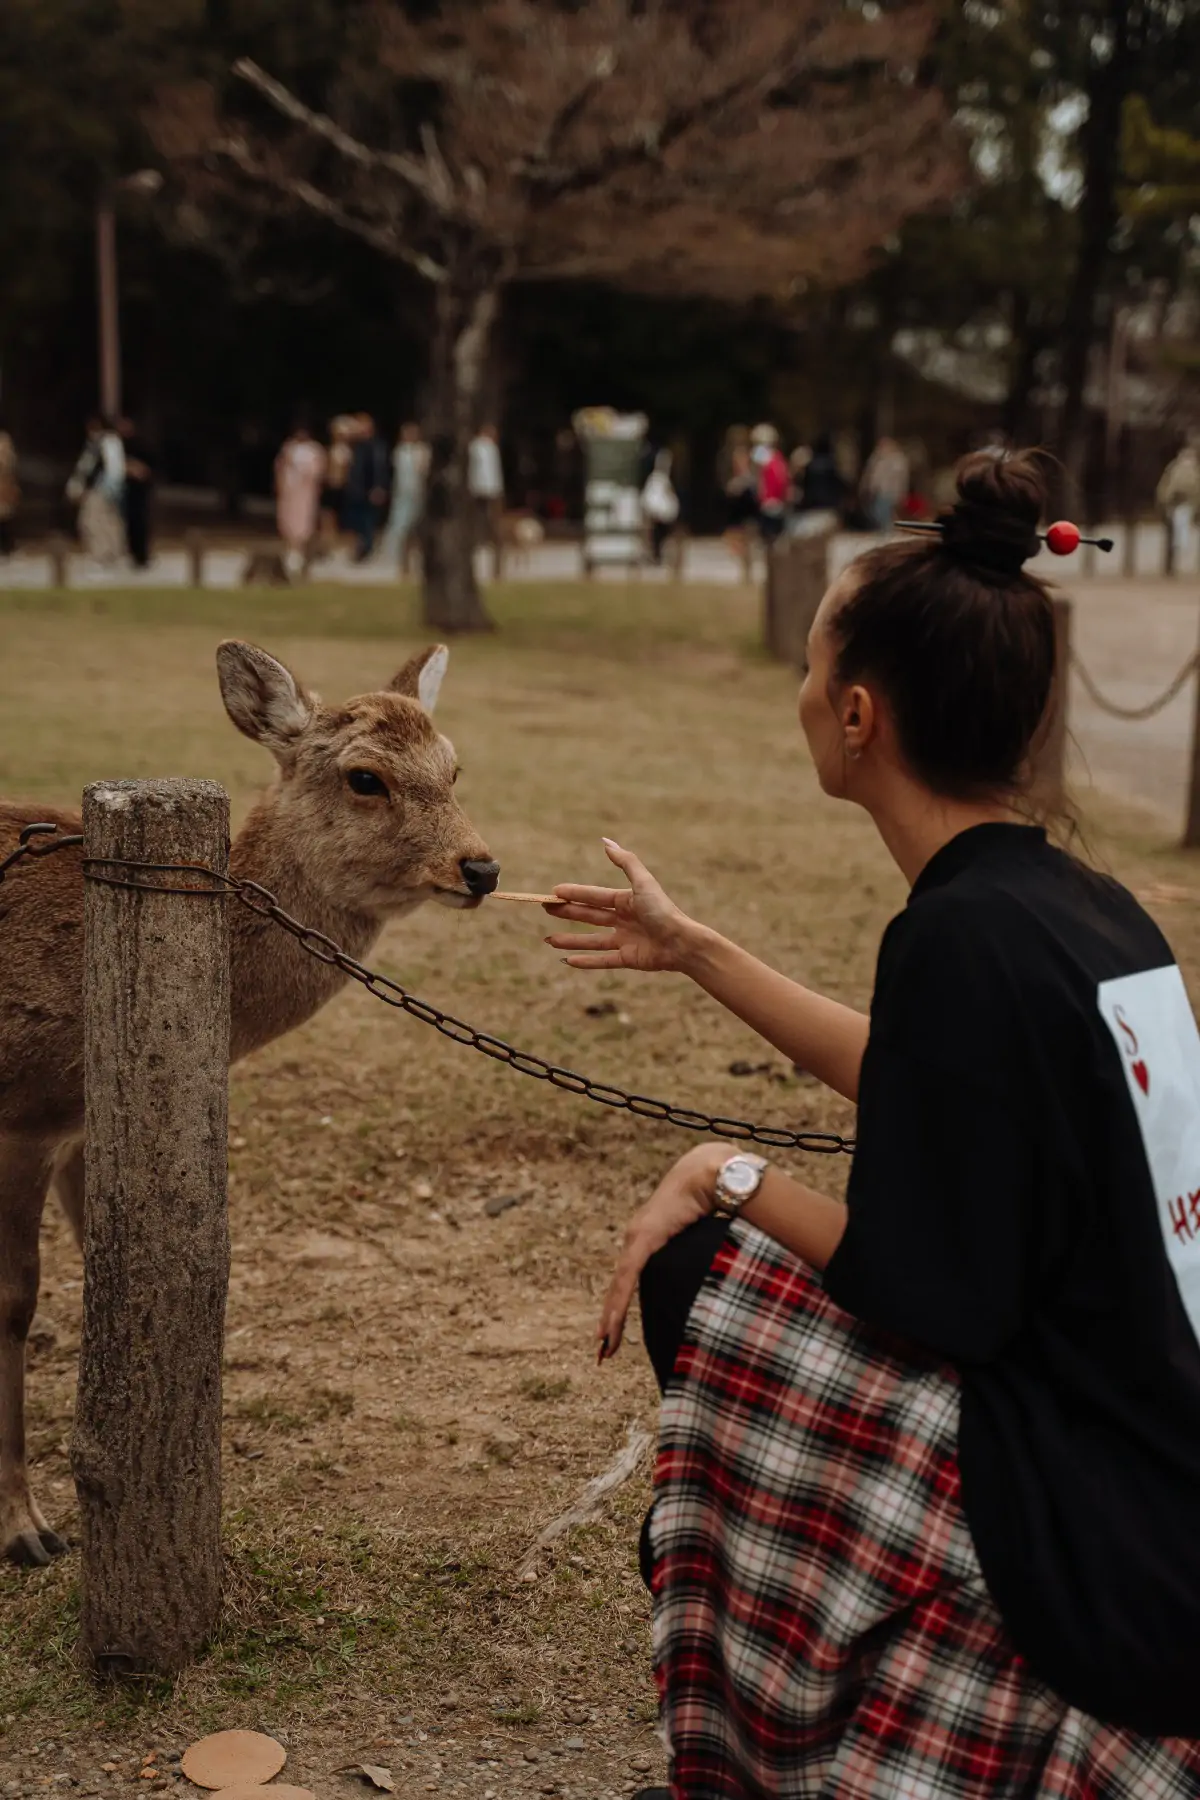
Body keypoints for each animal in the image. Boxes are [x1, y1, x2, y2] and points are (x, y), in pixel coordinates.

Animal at [0, 637, 496, 1562]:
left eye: (454, 768)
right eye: (366, 777)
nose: (480, 867)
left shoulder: (80, 1123)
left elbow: (103, 1269)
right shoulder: (21, 1111)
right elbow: (15, 1302)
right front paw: (25, 1527)